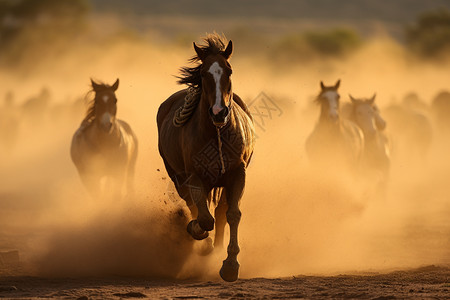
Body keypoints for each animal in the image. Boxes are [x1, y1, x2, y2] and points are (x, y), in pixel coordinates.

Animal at [157, 34, 256, 282]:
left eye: (229, 70)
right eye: (203, 73)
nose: (219, 112)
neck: (215, 133)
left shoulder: (237, 174)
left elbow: (232, 214)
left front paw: (230, 265)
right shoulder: (193, 177)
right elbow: (203, 218)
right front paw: (199, 235)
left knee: (220, 212)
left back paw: (217, 248)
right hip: (177, 177)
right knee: (194, 207)